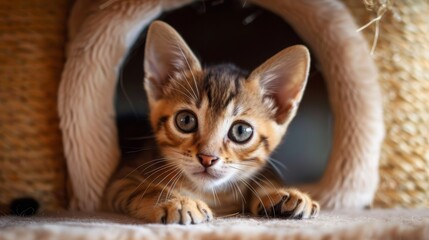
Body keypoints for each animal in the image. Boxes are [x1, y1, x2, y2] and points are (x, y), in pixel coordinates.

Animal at [103, 21, 318, 225]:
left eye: (241, 131)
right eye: (186, 120)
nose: (207, 158)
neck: (212, 194)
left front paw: (280, 193)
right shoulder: (122, 180)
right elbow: (145, 189)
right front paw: (179, 202)